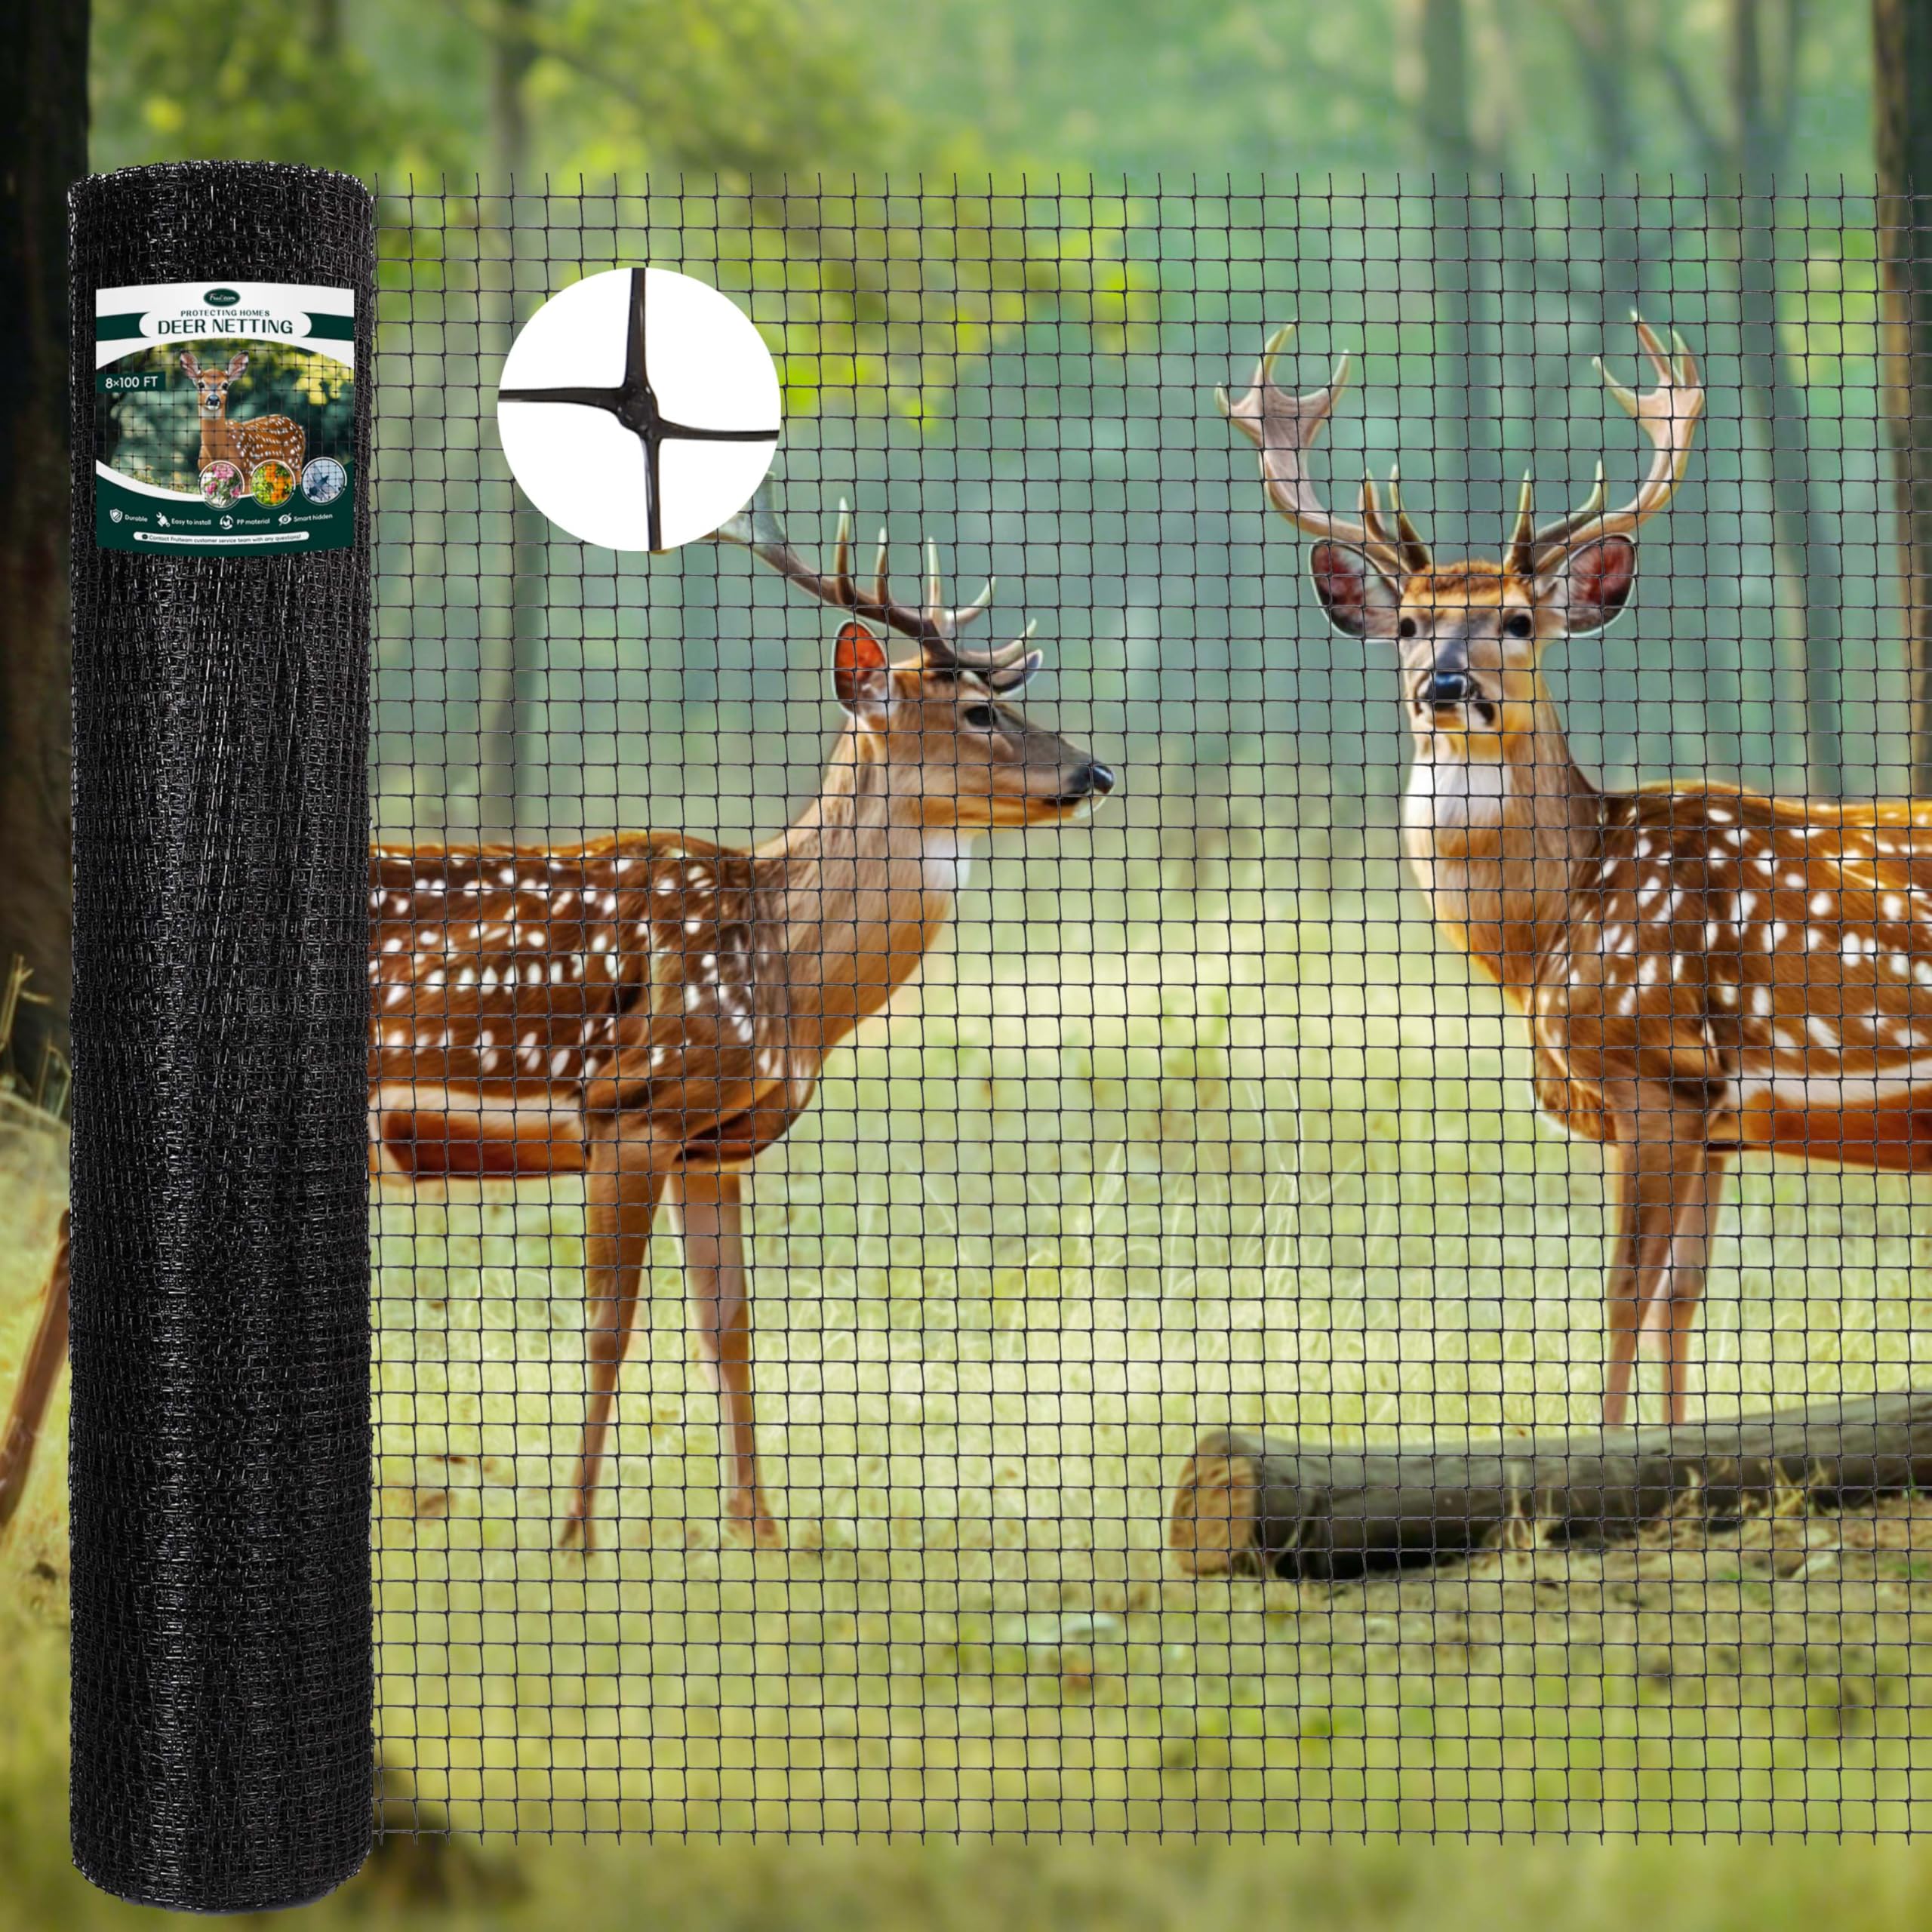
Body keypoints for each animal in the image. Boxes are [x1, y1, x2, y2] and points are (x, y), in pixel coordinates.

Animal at [178, 349, 306, 480]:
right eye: (201, 385)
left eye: (225, 385)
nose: (213, 399)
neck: (218, 453)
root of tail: (299, 427)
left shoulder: (246, 469)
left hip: (295, 464)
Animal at [1224, 314, 1932, 1431]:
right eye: (1411, 621)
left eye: (1519, 620)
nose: (1445, 685)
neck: (1551, 928)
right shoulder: (1716, 1115)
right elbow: (1683, 1296)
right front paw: (1676, 1446)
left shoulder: (1655, 1071)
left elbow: (1623, 1292)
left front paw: (1602, 1444)